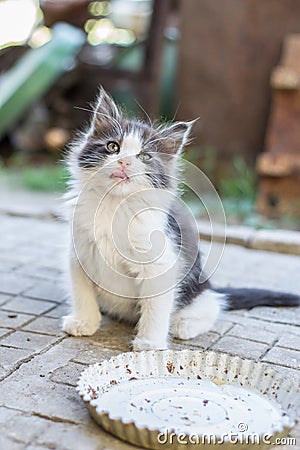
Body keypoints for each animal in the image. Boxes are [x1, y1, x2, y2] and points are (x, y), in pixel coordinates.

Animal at [62, 86, 298, 350]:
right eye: (113, 147)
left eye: (145, 157)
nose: (124, 162)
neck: (114, 205)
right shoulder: (79, 254)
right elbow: (82, 293)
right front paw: (84, 322)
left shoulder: (162, 264)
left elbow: (156, 308)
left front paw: (149, 343)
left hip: (196, 287)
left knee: (214, 304)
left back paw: (185, 325)